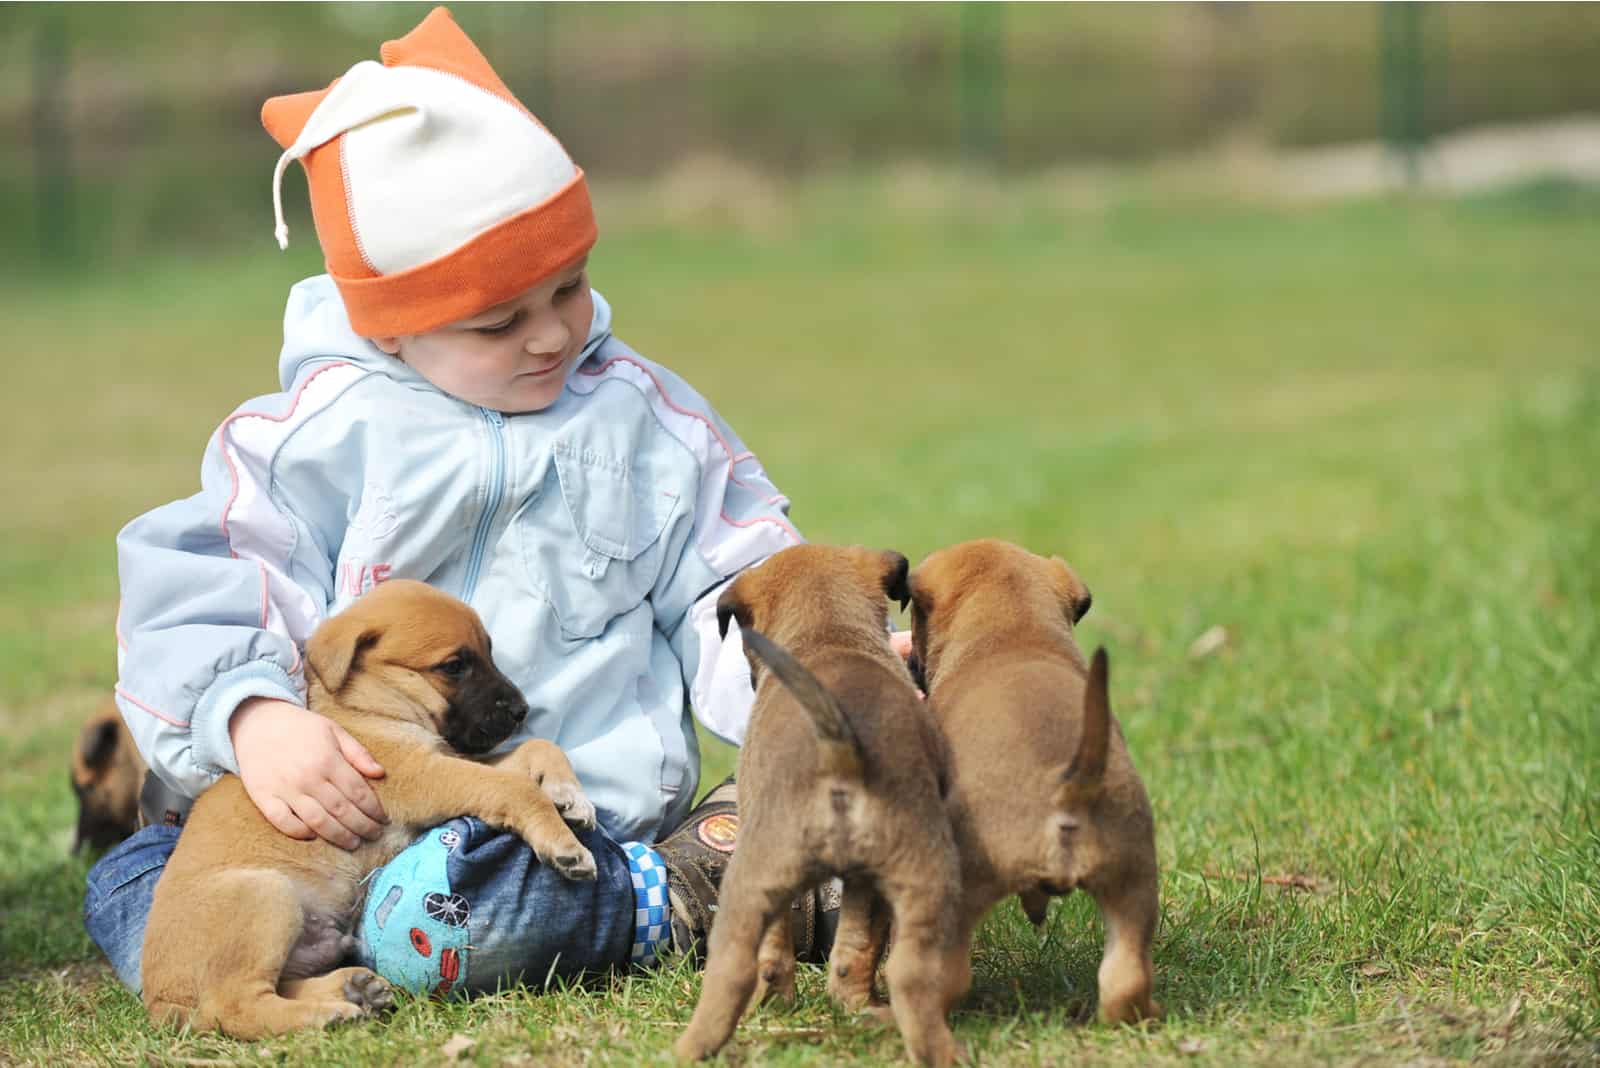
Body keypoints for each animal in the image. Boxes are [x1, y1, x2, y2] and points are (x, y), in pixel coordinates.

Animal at [137, 578, 598, 1036]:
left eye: (489, 652)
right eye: (454, 666)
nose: (522, 710)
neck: (369, 705)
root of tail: (159, 1001)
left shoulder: (447, 758)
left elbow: (538, 748)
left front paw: (569, 796)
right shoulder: (424, 775)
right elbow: (514, 788)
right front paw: (564, 845)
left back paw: (351, 989)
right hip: (265, 894)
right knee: (232, 1006)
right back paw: (325, 1014)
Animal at [672, 546, 960, 1061]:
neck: (829, 636)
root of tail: (839, 753)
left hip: (748, 888)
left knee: (739, 973)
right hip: (918, 884)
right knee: (896, 974)